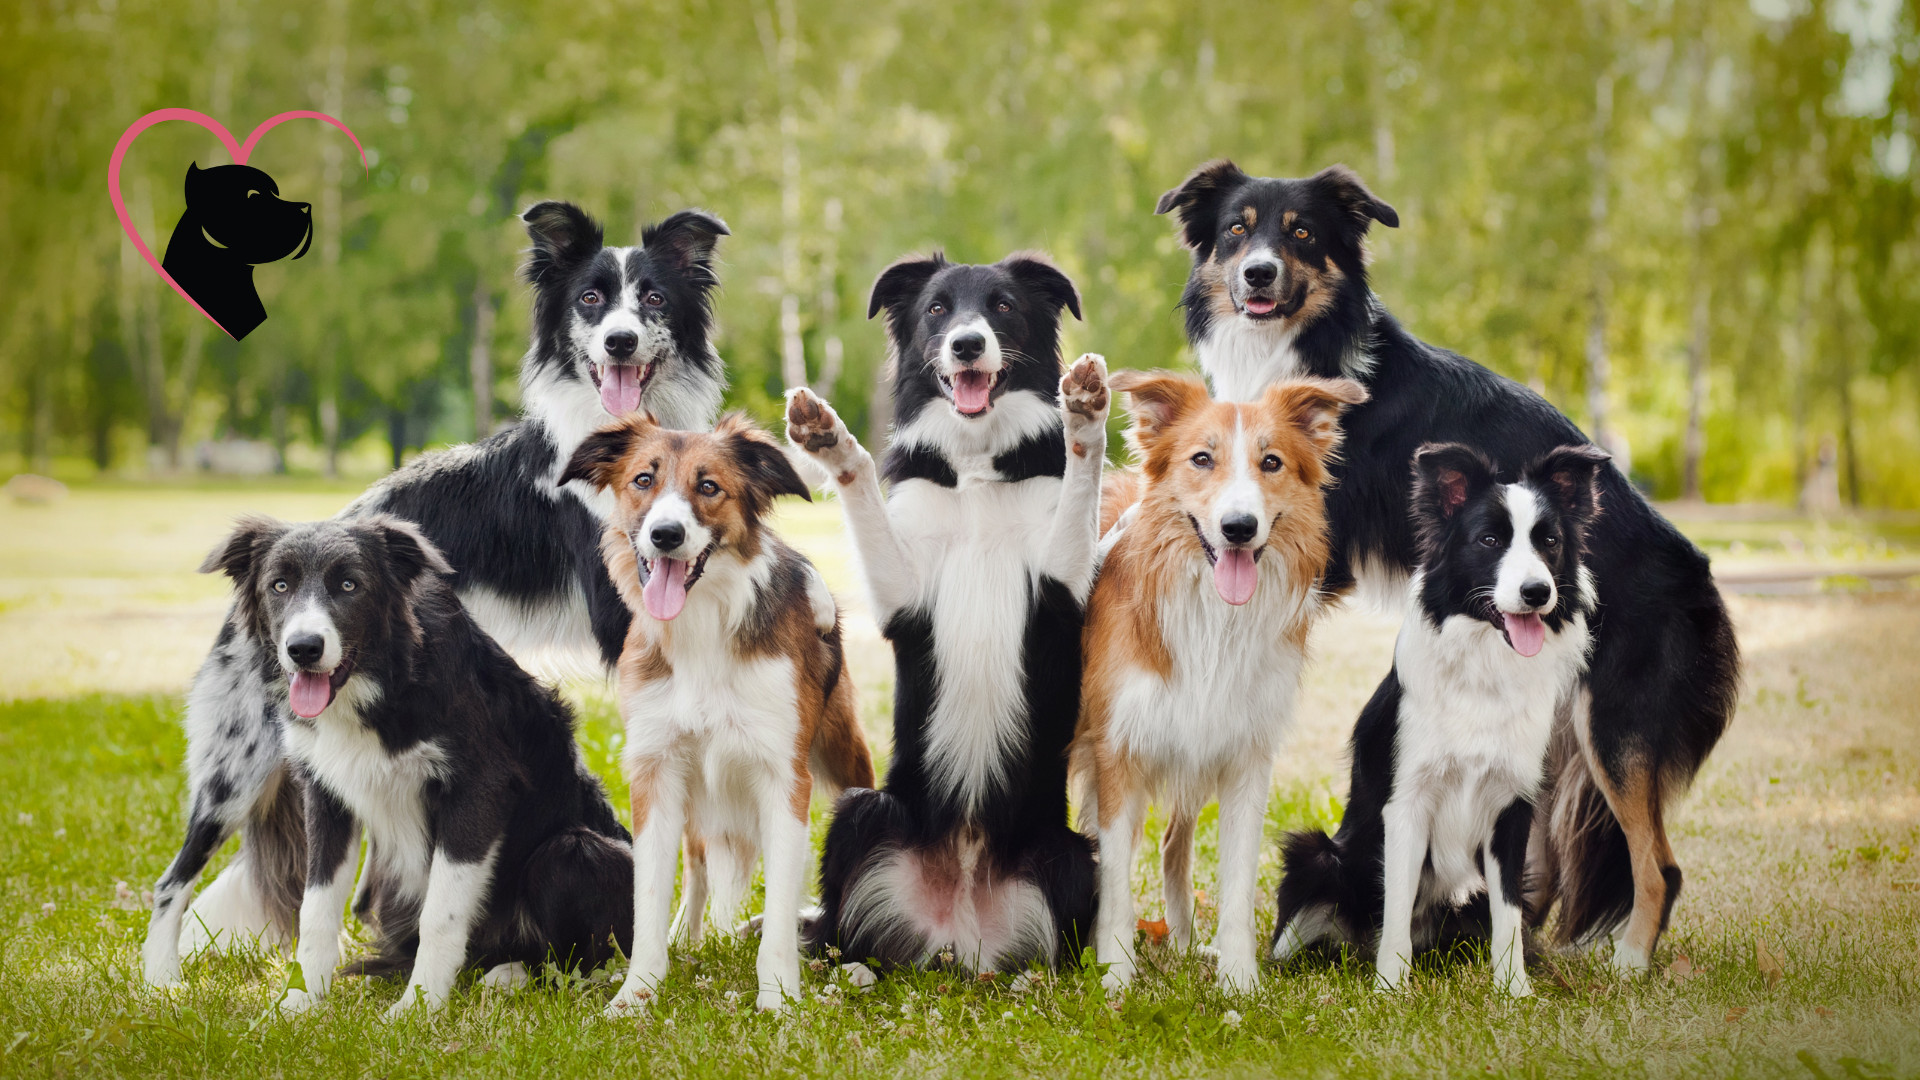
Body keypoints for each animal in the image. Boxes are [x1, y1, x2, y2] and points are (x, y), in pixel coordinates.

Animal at [202, 518, 637, 1014]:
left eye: (350, 585)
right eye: (279, 585)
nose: (303, 649)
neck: (383, 684)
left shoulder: (479, 786)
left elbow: (442, 912)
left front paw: (417, 1008)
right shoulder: (326, 794)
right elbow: (315, 907)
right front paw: (298, 1004)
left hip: (577, 854)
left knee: (574, 955)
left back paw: (509, 976)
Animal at [783, 249, 1113, 968]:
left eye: (1003, 306)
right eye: (937, 308)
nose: (966, 344)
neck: (977, 464)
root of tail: (957, 933)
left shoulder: (1061, 583)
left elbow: (1083, 470)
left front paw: (1085, 412)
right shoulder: (903, 597)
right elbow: (860, 488)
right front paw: (830, 440)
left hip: (1073, 854)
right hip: (862, 814)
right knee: (842, 935)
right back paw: (854, 972)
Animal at [1282, 443, 1612, 991]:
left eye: (1550, 541)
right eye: (1489, 540)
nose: (1537, 592)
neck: (1483, 671)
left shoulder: (1512, 809)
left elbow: (1508, 916)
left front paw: (1514, 990)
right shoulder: (1407, 805)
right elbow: (1395, 907)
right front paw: (1391, 988)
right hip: (1318, 855)